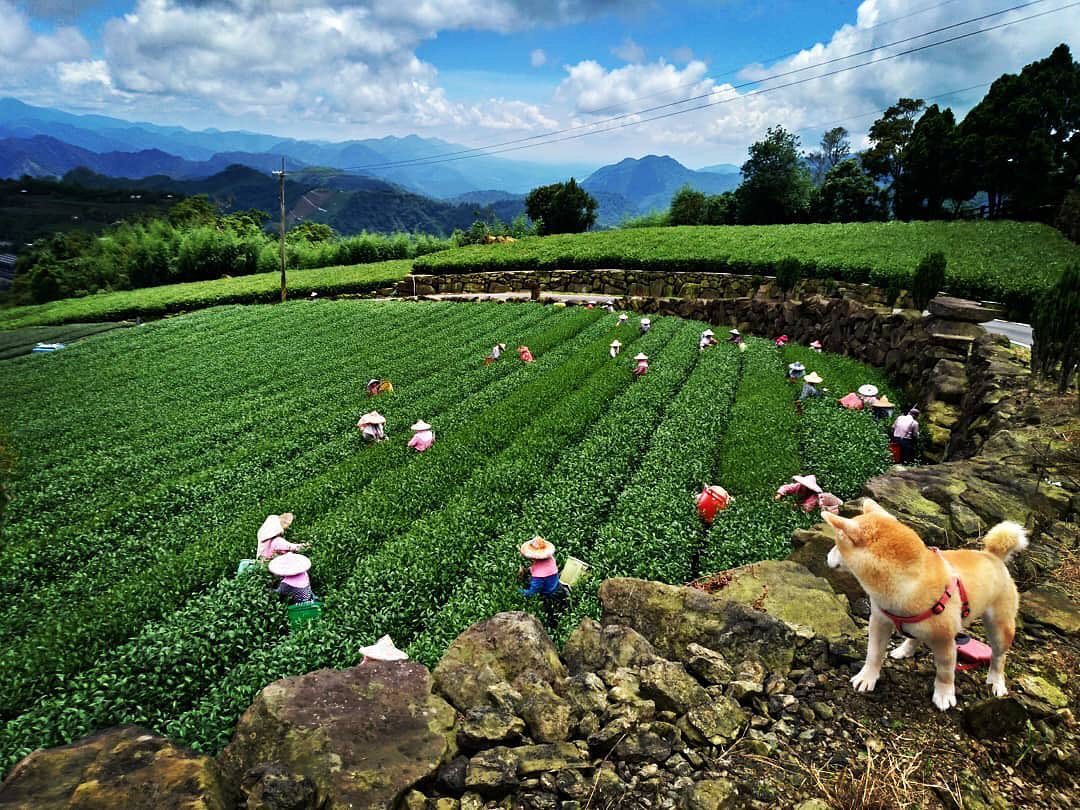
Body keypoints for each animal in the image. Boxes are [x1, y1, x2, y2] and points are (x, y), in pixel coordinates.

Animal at [825, 501, 1028, 708]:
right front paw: (867, 677)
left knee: (999, 656)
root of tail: (993, 556)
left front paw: (944, 694)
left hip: (1000, 628)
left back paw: (996, 680)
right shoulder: (880, 622)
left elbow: (945, 672)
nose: (826, 555)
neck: (909, 581)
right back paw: (904, 649)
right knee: (915, 637)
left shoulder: (945, 641)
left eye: (837, 545)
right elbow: (873, 654)